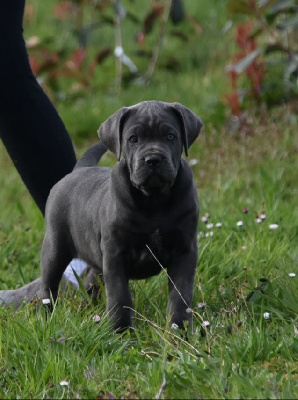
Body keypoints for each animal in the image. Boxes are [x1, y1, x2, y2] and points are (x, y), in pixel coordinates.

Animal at [39, 101, 203, 332]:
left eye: (170, 136)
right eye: (133, 139)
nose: (153, 159)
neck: (154, 200)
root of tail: (77, 170)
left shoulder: (184, 251)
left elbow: (181, 294)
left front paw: (179, 328)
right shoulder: (115, 254)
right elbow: (119, 296)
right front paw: (121, 331)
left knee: (91, 280)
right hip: (55, 247)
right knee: (48, 287)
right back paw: (45, 317)